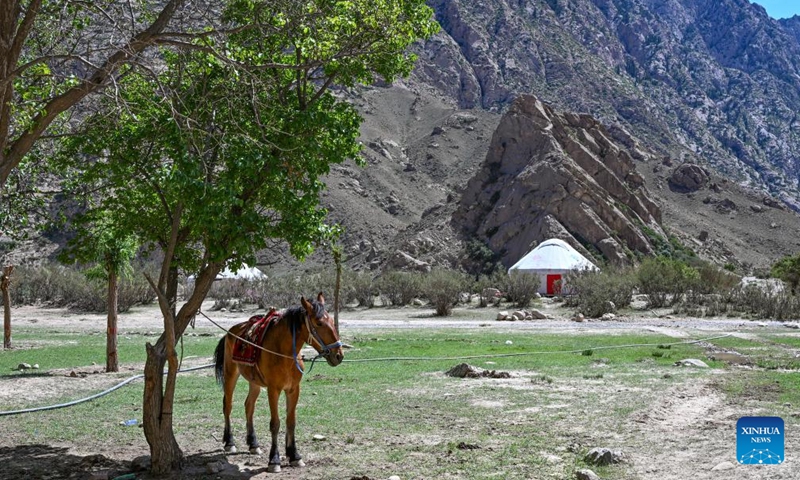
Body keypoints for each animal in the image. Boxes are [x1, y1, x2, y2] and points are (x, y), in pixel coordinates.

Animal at [214, 292, 342, 472]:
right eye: (319, 323)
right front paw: (274, 460)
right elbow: (275, 424)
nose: (339, 355)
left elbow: (291, 422)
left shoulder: (293, 390)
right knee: (228, 405)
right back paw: (229, 442)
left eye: (331, 320)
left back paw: (253, 444)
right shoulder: (273, 390)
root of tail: (230, 332)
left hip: (254, 382)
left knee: (249, 406)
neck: (284, 353)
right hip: (231, 374)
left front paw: (294, 455)